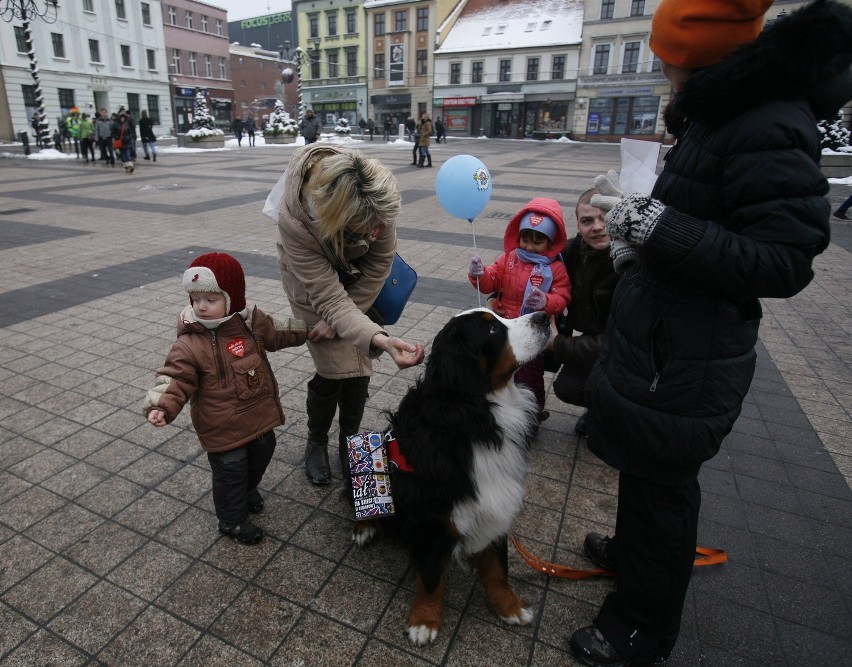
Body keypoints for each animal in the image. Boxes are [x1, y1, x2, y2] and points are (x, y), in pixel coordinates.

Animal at [352, 310, 552, 648]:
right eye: (492, 328)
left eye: (499, 316)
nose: (544, 316)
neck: (474, 418)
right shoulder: (431, 518)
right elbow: (433, 577)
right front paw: (424, 621)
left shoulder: (496, 500)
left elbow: (498, 568)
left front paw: (510, 607)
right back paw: (364, 527)